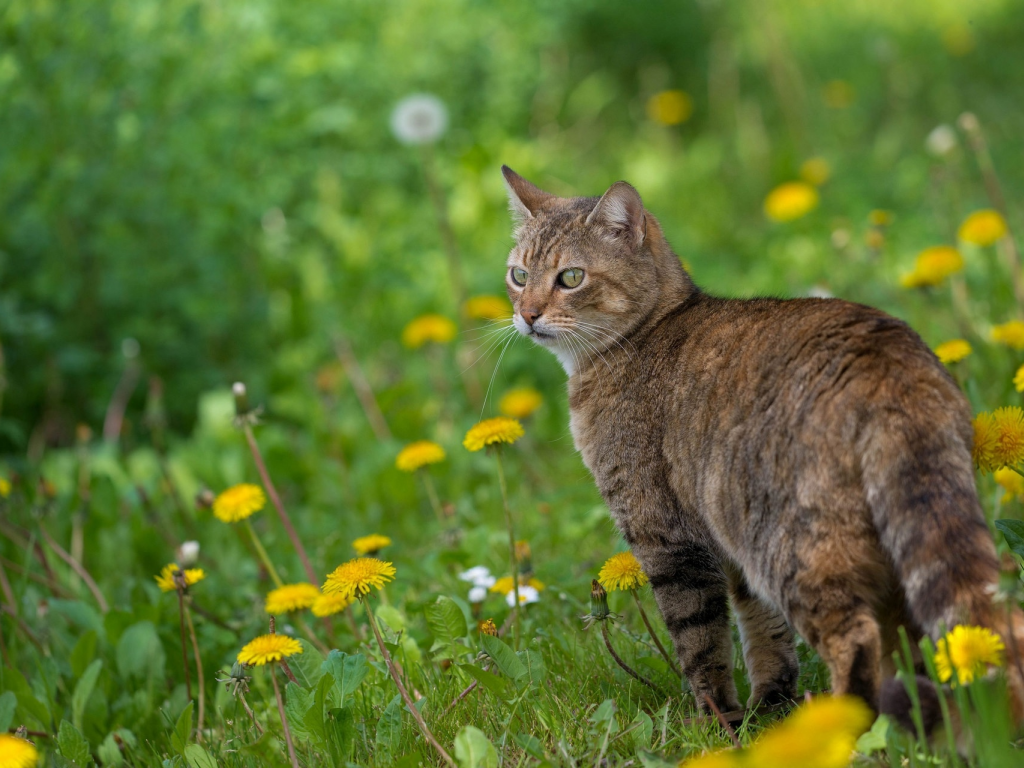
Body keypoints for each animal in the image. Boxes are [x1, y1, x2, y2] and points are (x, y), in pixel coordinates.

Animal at [499, 163, 1024, 720]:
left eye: (571, 278)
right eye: (519, 276)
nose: (527, 314)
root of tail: (888, 364)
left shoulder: (667, 538)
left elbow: (700, 643)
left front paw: (718, 720)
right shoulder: (728, 550)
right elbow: (765, 632)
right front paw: (771, 704)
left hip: (788, 546)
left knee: (856, 639)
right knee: (915, 643)